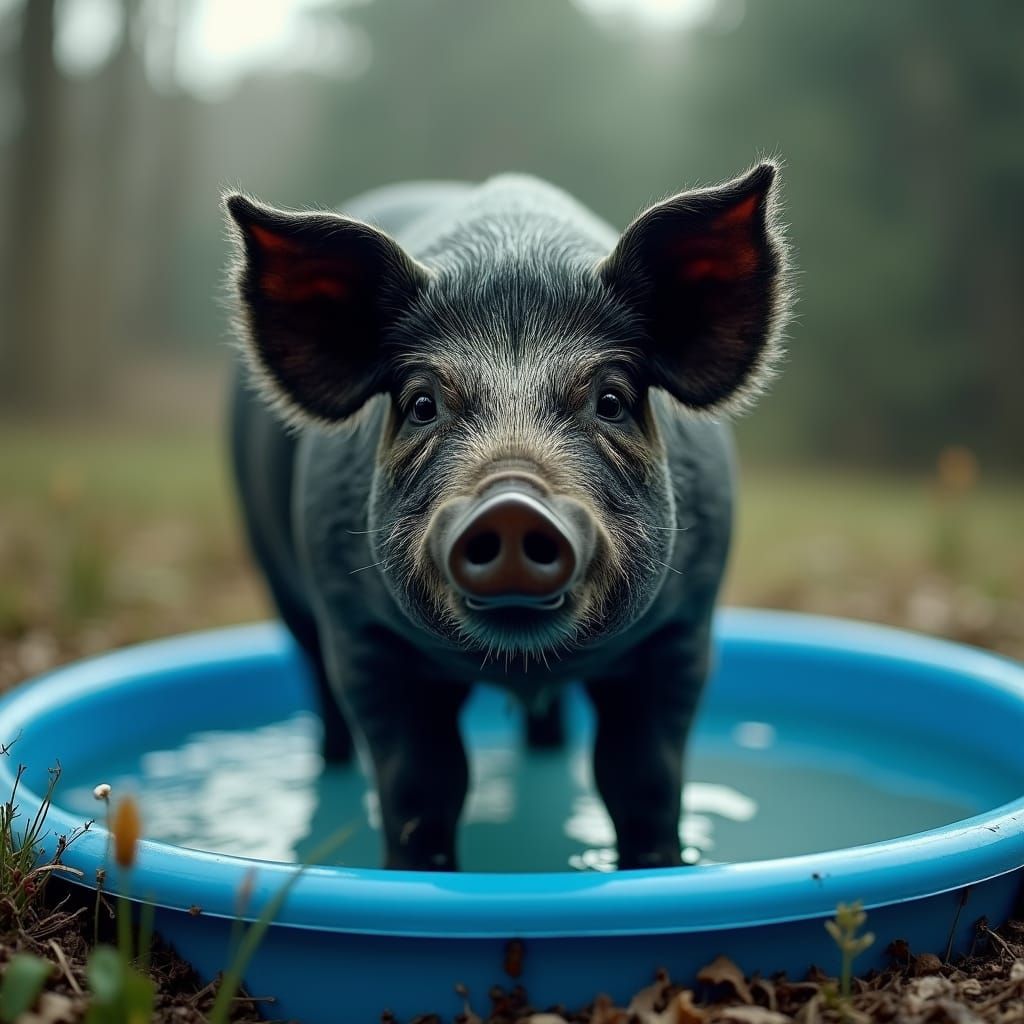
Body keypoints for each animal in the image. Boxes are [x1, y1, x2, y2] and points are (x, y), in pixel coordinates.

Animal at [225, 165, 791, 871]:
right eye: (421, 404)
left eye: (611, 400)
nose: (514, 504)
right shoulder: (360, 634)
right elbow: (421, 784)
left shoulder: (684, 630)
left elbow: (642, 779)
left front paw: (656, 867)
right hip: (279, 580)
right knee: (322, 699)